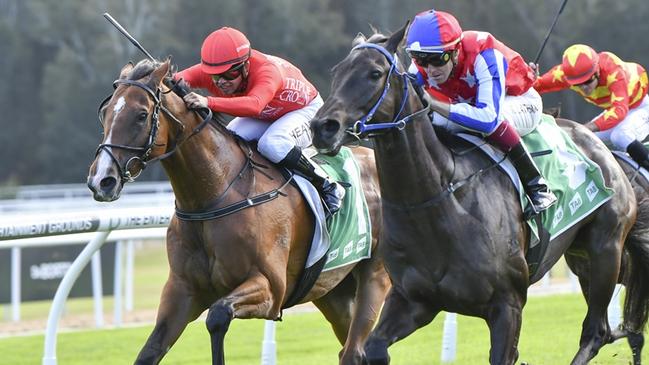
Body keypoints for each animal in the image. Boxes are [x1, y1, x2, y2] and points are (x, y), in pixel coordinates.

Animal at [86, 58, 390, 362]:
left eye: (141, 115)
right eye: (104, 114)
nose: (102, 180)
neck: (212, 197)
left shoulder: (270, 288)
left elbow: (217, 315)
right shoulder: (181, 291)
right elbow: (150, 350)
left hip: (374, 276)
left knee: (355, 351)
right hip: (332, 290)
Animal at [308, 26, 648, 364]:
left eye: (375, 73)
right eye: (337, 71)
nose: (322, 127)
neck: (435, 204)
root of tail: (599, 145)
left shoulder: (508, 306)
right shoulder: (414, 301)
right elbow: (374, 349)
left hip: (606, 248)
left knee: (596, 331)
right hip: (581, 257)